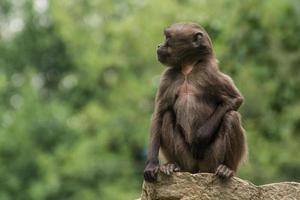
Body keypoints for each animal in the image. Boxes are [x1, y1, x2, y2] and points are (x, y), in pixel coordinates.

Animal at [144, 22, 247, 182]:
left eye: (168, 38)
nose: (159, 46)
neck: (188, 69)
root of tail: (197, 170)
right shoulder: (167, 78)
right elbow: (159, 114)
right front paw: (152, 164)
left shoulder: (210, 74)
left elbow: (235, 99)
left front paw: (200, 137)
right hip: (187, 159)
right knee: (167, 116)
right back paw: (172, 165)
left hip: (211, 161)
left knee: (232, 116)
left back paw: (227, 169)